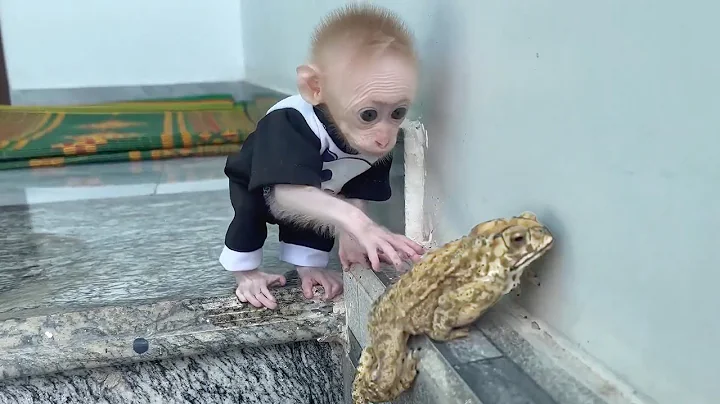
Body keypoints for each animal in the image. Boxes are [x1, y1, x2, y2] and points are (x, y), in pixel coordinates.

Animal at [219, 4, 425, 310]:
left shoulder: (379, 161)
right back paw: (250, 278)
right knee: (247, 218)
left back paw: (311, 270)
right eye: (369, 115)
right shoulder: (286, 129)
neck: (334, 130)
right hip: (243, 187)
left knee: (307, 229)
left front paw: (354, 246)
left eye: (398, 113)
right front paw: (368, 230)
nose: (384, 139)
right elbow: (289, 190)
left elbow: (356, 195)